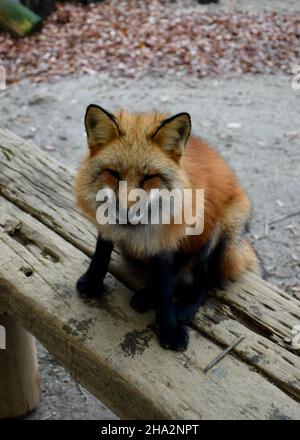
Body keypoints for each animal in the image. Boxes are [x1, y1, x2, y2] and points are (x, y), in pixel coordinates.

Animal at [75, 105, 260, 350]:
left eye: (149, 177)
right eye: (113, 174)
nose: (125, 212)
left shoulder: (166, 240)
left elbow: (164, 289)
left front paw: (169, 329)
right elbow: (101, 254)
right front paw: (92, 282)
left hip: (217, 233)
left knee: (203, 280)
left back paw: (180, 306)